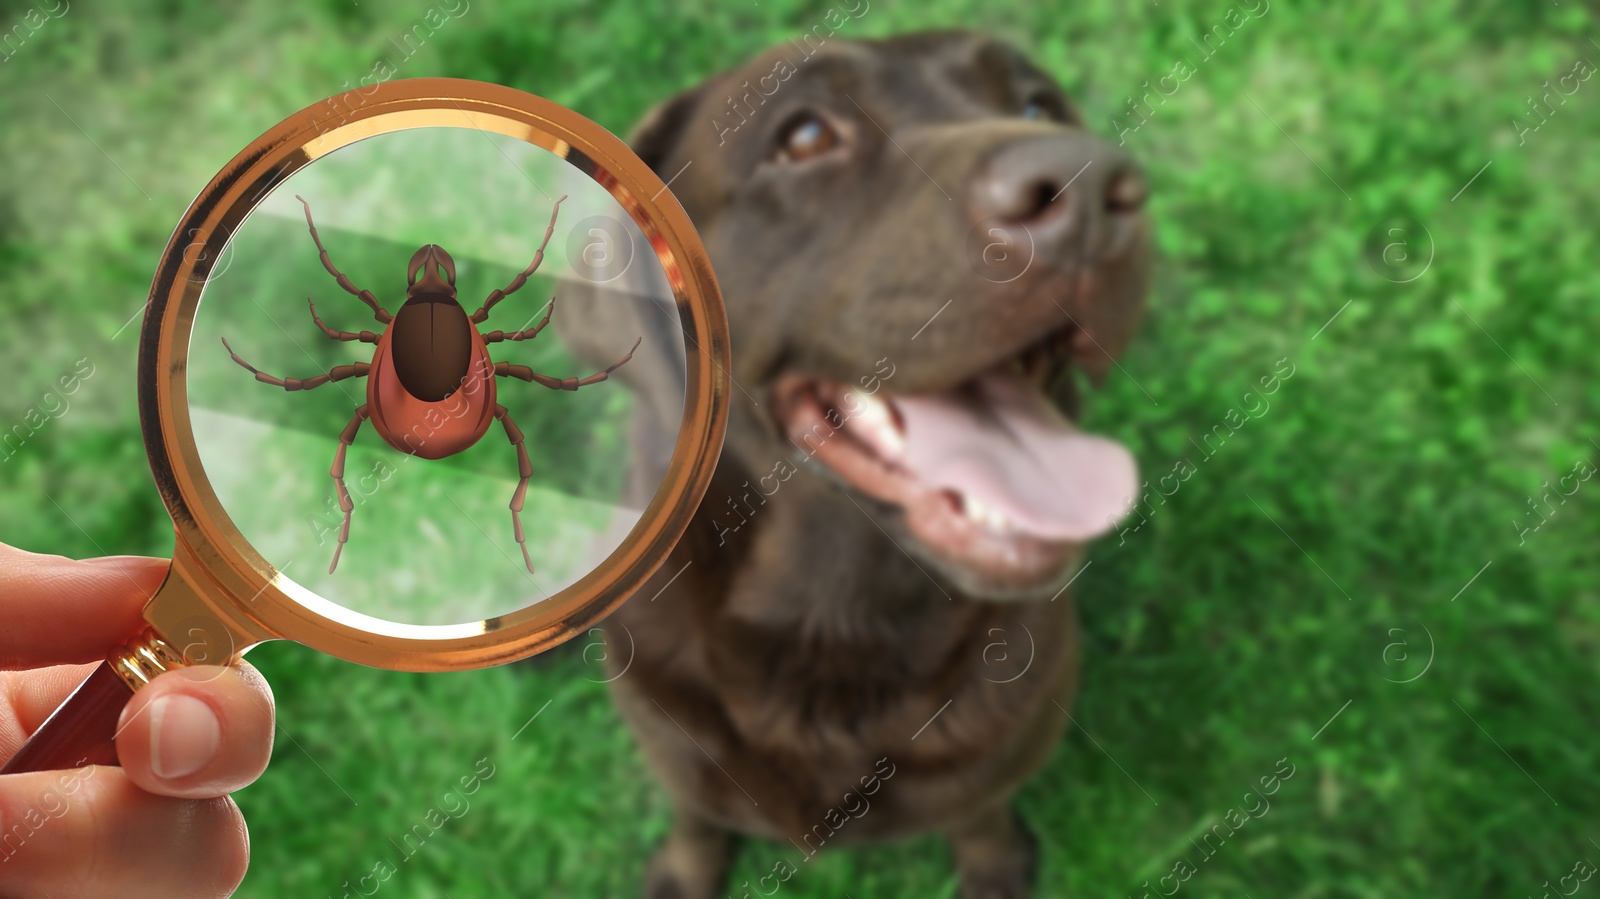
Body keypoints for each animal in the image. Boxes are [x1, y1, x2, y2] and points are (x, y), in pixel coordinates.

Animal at [556, 27, 1145, 895]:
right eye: (804, 137)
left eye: (1039, 105)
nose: (1098, 186)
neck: (834, 611)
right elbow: (696, 811)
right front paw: (685, 870)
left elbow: (978, 810)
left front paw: (995, 864)